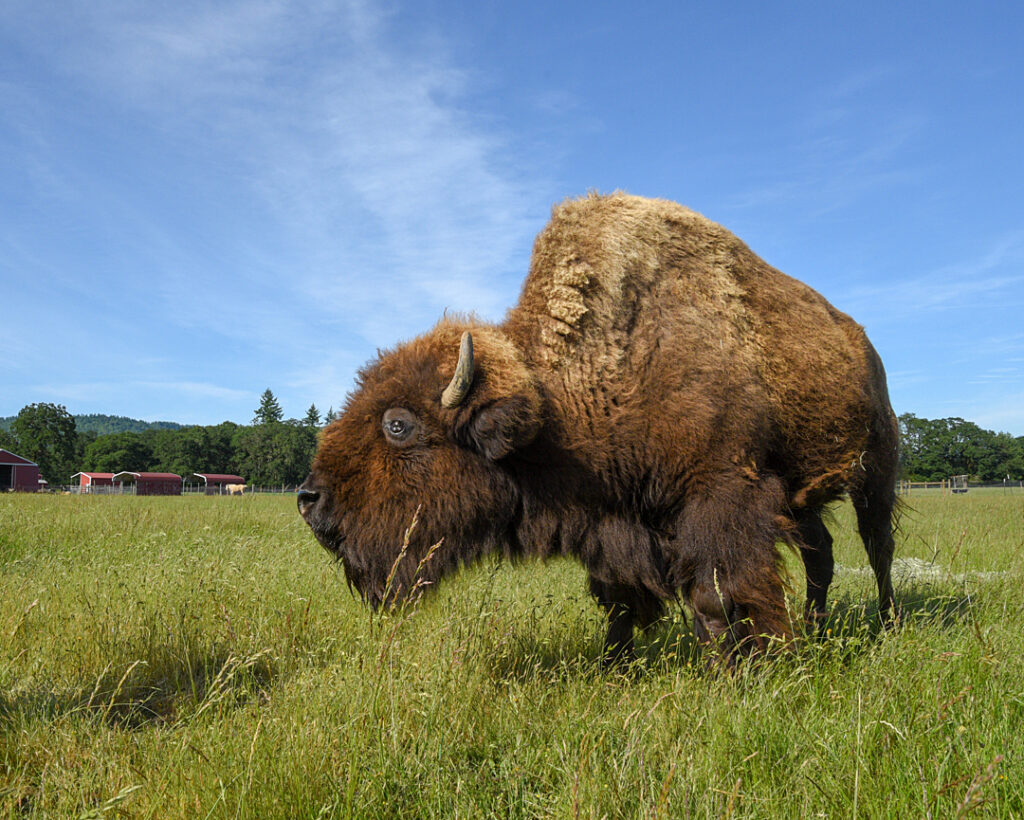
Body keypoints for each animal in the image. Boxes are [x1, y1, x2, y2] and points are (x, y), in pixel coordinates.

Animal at [299, 193, 898, 664]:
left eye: (398, 425)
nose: (308, 499)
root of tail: (863, 343)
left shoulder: (724, 494)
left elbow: (718, 595)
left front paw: (743, 668)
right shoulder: (614, 522)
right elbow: (622, 601)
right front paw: (614, 665)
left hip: (877, 470)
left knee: (877, 546)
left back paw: (886, 624)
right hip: (803, 496)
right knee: (821, 552)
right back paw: (817, 627)